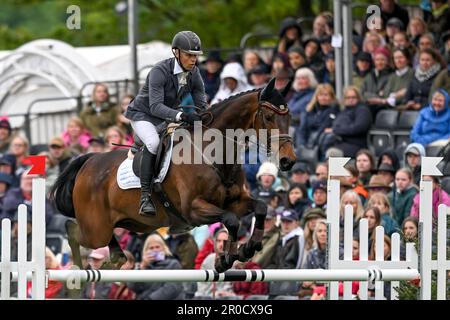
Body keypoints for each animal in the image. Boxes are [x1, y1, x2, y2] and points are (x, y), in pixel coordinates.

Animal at [50, 77, 296, 272]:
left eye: (290, 117)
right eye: (268, 117)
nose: (288, 160)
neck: (213, 154)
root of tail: (88, 162)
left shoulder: (235, 201)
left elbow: (260, 208)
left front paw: (246, 249)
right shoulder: (194, 209)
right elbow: (231, 220)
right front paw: (228, 257)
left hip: (129, 224)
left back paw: (114, 260)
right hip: (96, 229)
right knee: (71, 230)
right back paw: (77, 271)